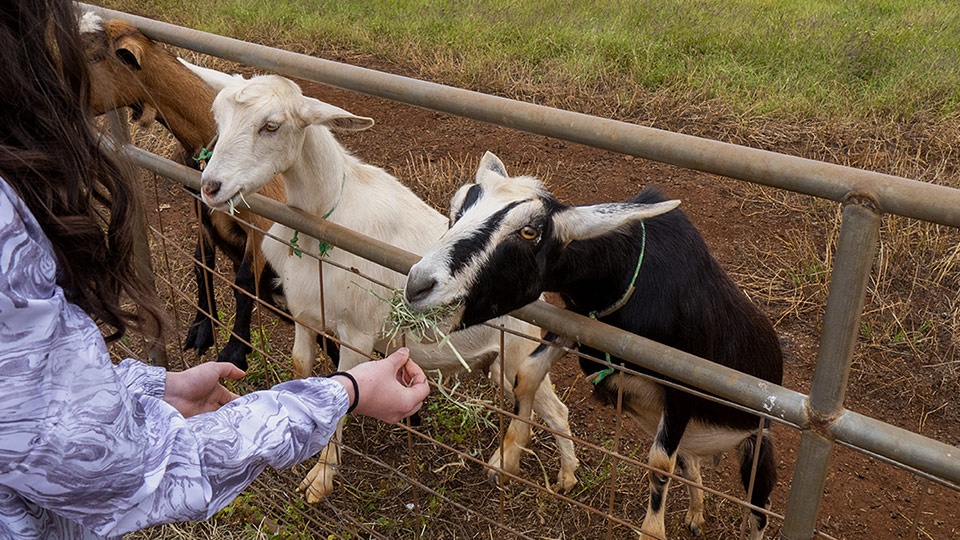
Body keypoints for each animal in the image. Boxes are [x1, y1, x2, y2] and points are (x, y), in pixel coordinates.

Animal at [81, 12, 288, 370]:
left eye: (93, 55)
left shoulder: (261, 227)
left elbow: (244, 282)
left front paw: (235, 350)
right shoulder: (202, 213)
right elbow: (200, 263)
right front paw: (201, 329)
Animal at [184, 61, 580, 504]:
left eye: (271, 126)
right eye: (218, 118)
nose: (210, 187)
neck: (325, 217)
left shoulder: (358, 332)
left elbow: (343, 388)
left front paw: (321, 479)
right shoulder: (305, 312)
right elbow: (304, 367)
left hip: (517, 353)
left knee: (554, 409)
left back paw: (561, 476)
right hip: (496, 363)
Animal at [404, 152, 780, 540]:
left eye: (529, 231)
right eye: (457, 208)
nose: (418, 286)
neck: (625, 273)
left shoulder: (684, 382)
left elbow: (660, 463)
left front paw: (652, 531)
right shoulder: (578, 324)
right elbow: (527, 374)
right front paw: (507, 457)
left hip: (757, 447)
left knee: (758, 511)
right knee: (690, 464)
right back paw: (695, 514)